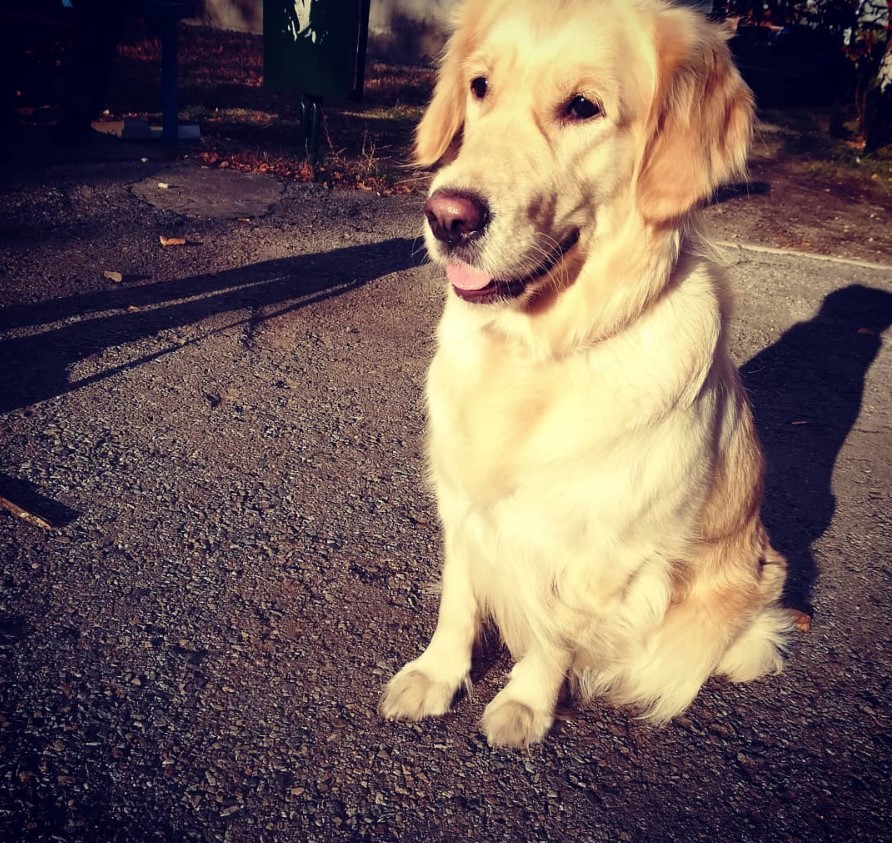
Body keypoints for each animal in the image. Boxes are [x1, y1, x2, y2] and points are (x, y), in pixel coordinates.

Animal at [380, 0, 792, 748]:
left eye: (582, 107)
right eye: (480, 87)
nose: (447, 217)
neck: (534, 351)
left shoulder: (599, 550)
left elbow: (554, 634)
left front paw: (525, 703)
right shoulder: (462, 502)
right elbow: (458, 599)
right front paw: (436, 674)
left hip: (743, 626)